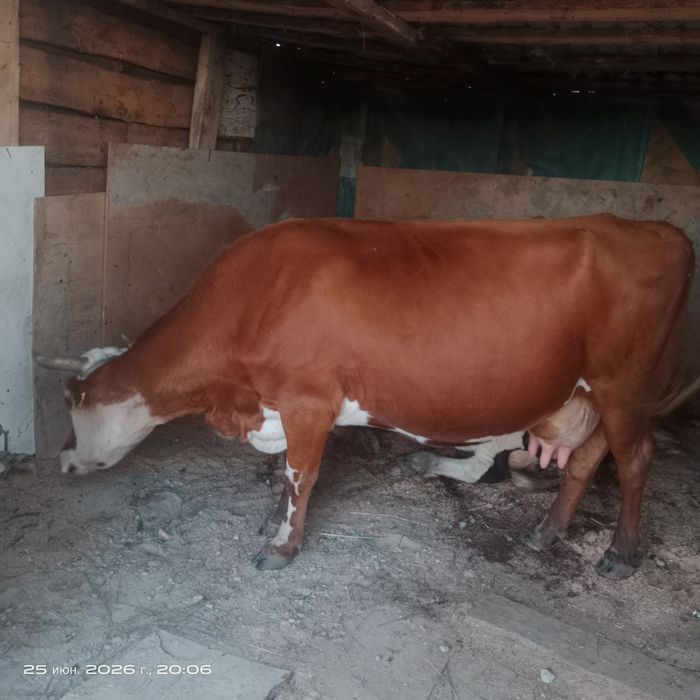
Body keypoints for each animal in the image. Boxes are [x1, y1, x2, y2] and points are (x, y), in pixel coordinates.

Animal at [36, 214, 698, 578]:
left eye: (71, 407)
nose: (61, 459)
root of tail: (657, 229)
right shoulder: (283, 405)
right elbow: (285, 471)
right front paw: (270, 520)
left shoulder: (308, 401)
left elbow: (300, 473)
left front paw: (282, 547)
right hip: (593, 392)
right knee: (587, 457)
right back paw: (545, 531)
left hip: (626, 385)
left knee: (634, 460)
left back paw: (621, 554)